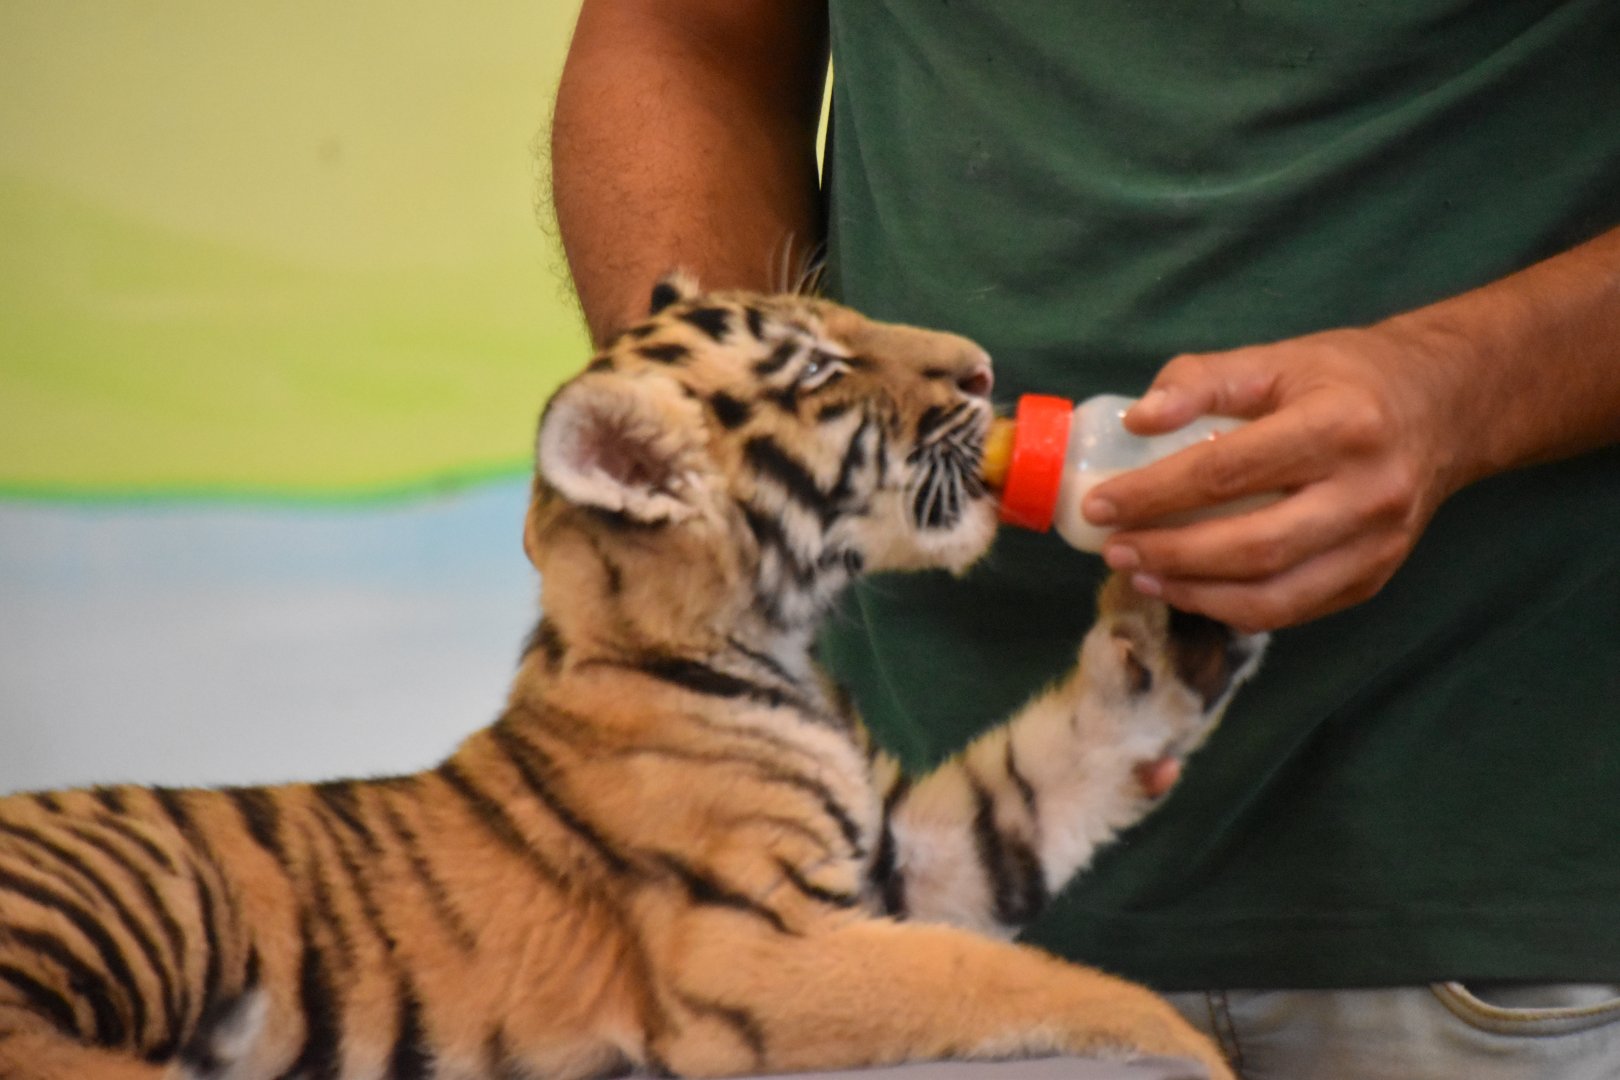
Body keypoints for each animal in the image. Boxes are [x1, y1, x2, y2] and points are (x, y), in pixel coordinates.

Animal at [0, 276, 1265, 1080]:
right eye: (820, 367)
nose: (983, 369)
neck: (772, 645)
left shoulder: (909, 857)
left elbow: (1065, 765)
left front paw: (1181, 611)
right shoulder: (755, 948)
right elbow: (1007, 981)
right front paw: (1189, 1049)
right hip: (143, 898)